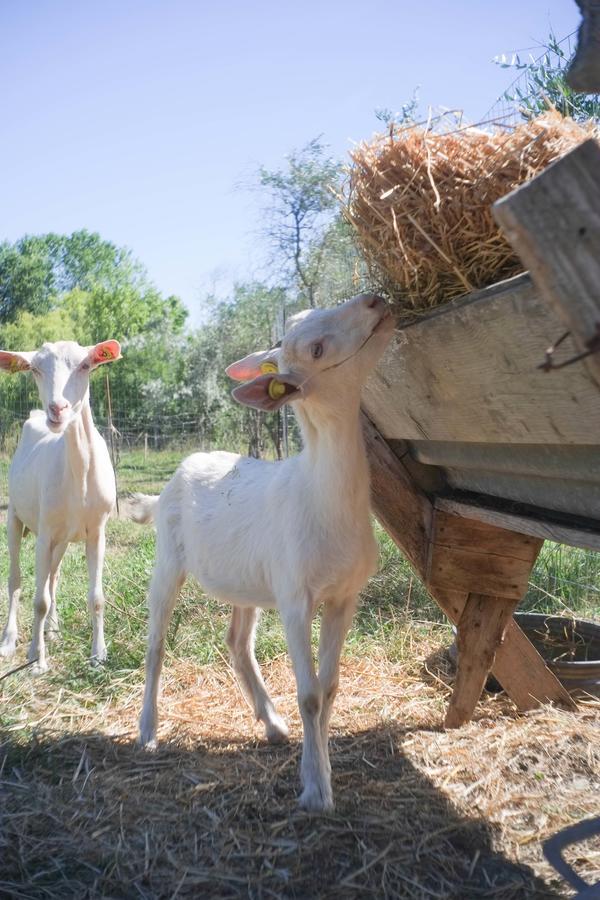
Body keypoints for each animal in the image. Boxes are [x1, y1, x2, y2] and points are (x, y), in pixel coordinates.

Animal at [0, 342, 120, 672]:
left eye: (85, 366)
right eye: (35, 369)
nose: (58, 409)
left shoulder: (97, 531)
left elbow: (96, 596)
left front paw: (98, 654)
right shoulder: (44, 532)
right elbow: (38, 599)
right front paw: (36, 659)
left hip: (63, 538)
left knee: (53, 576)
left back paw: (52, 629)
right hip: (15, 516)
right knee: (15, 579)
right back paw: (10, 639)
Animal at [132, 294, 394, 808]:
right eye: (315, 348)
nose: (375, 300)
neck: (322, 497)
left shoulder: (344, 595)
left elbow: (330, 688)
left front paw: (322, 770)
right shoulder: (295, 596)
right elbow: (310, 694)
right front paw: (315, 790)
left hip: (247, 581)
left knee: (236, 642)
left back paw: (271, 723)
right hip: (168, 560)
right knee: (155, 643)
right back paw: (148, 730)